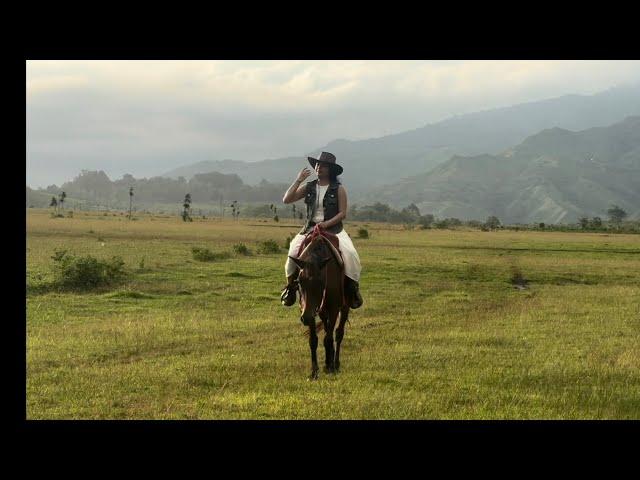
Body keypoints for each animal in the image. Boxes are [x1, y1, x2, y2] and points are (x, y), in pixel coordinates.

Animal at [288, 227, 350, 380]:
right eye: (299, 282)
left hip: (344, 307)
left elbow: (329, 338)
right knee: (328, 329)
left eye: (321, 282)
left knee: (338, 333)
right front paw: (314, 371)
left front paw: (331, 367)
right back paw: (328, 361)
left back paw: (335, 363)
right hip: (321, 311)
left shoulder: (333, 309)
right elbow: (314, 340)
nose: (305, 318)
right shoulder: (307, 309)